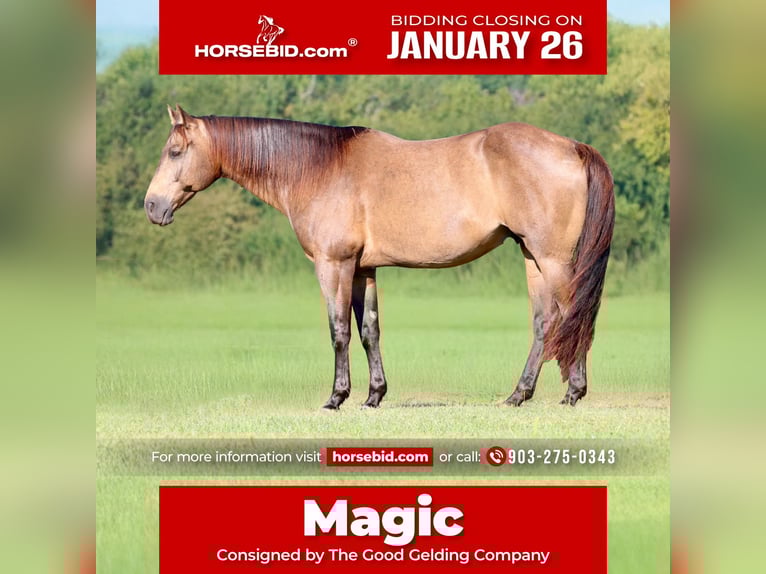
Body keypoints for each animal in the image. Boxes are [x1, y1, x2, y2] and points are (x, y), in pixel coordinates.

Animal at [145, 106, 614, 409]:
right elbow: (369, 330)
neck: (320, 169)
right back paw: (521, 394)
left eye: (175, 151)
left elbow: (338, 330)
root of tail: (572, 146)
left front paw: (336, 397)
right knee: (544, 323)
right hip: (532, 257)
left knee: (572, 317)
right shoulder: (363, 269)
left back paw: (571, 392)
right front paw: (373, 395)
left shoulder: (333, 264)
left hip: (553, 259)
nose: (152, 207)